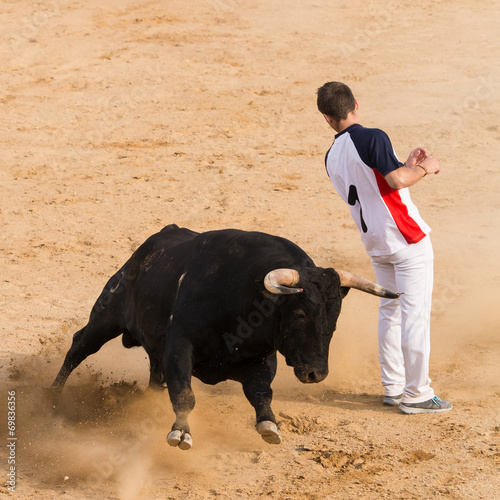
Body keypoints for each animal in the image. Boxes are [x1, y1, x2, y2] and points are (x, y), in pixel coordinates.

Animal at [53, 226, 398, 450]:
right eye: (300, 314)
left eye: (335, 315)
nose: (316, 373)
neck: (243, 294)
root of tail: (148, 247)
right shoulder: (181, 345)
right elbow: (184, 393)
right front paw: (181, 433)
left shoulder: (261, 357)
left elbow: (261, 393)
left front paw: (269, 426)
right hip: (107, 314)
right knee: (79, 346)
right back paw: (53, 397)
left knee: (154, 374)